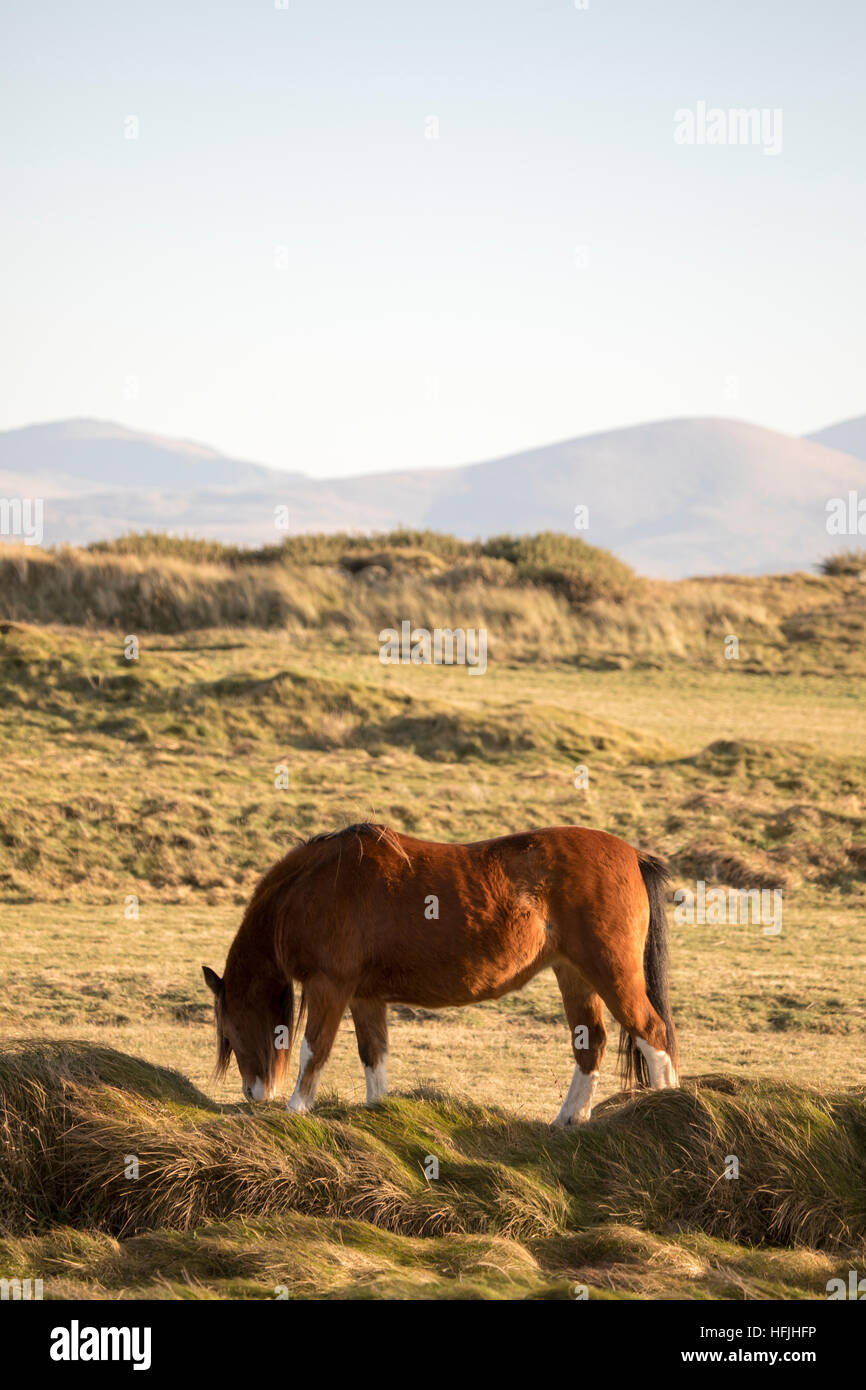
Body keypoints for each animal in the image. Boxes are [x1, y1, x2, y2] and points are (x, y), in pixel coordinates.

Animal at [202, 821, 678, 1126]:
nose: (252, 1093)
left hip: (610, 971)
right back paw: (569, 1118)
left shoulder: (329, 986)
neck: (312, 886)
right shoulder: (364, 996)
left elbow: (313, 1049)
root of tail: (633, 855)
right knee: (591, 1042)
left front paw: (297, 1109)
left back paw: (666, 1112)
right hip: (574, 974)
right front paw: (378, 1111)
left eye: (230, 1030)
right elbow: (373, 1054)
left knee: (651, 1031)